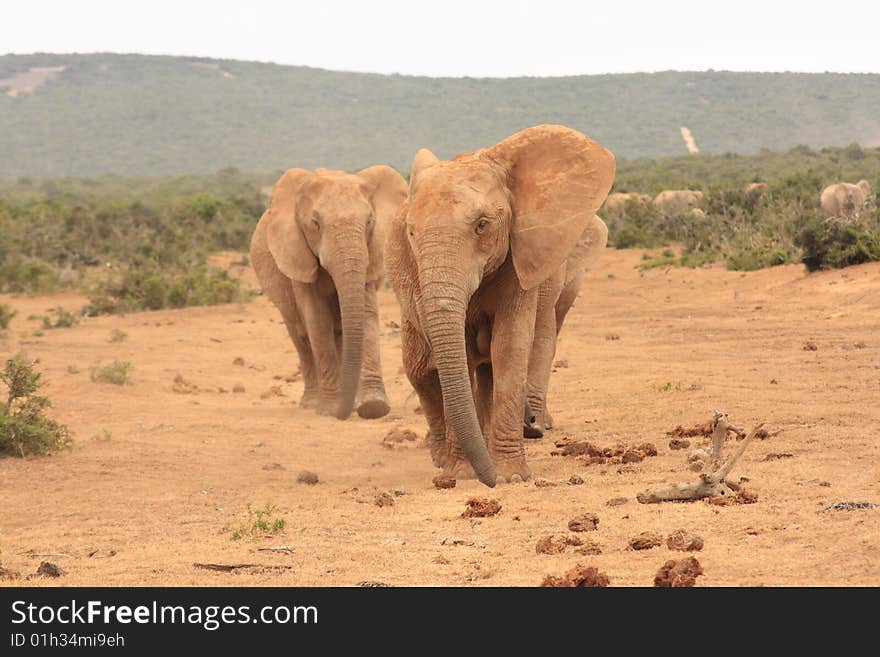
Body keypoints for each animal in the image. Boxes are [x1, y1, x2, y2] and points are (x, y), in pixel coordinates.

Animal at [251, 167, 410, 418]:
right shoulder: (298, 255)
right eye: (315, 223)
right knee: (301, 337)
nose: (342, 413)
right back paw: (310, 404)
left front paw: (373, 408)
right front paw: (328, 410)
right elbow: (317, 319)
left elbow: (366, 314)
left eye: (370, 221)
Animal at [388, 124, 616, 486]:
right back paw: (442, 458)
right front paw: (462, 473)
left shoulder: (520, 257)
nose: (490, 479)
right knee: (419, 369)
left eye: (482, 225)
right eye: (411, 233)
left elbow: (509, 346)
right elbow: (461, 356)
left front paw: (511, 476)